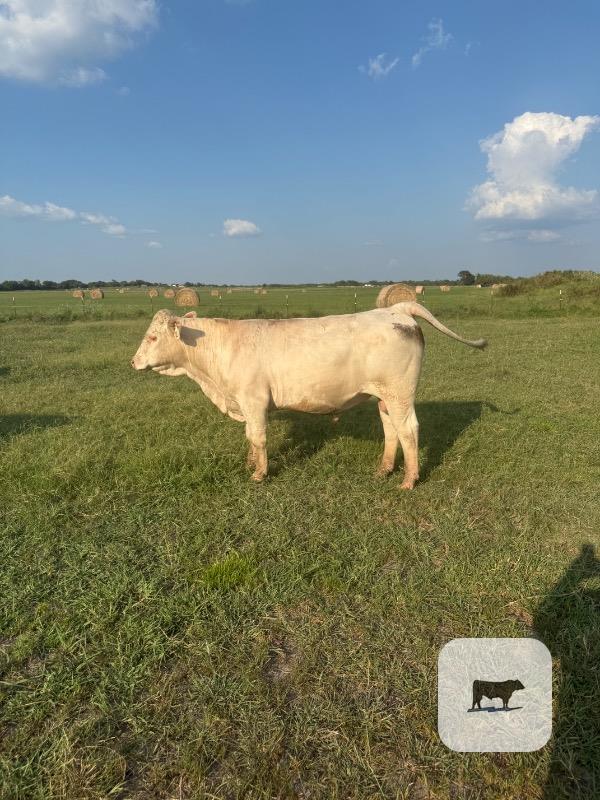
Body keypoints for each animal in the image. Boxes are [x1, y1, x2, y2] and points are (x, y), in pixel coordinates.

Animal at [130, 303, 487, 488]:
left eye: (152, 337)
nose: (133, 362)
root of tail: (394, 309)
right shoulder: (245, 402)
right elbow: (249, 436)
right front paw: (250, 464)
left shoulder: (254, 400)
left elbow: (258, 436)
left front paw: (259, 474)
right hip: (385, 397)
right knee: (392, 430)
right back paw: (384, 469)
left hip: (400, 393)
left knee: (409, 430)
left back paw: (409, 480)